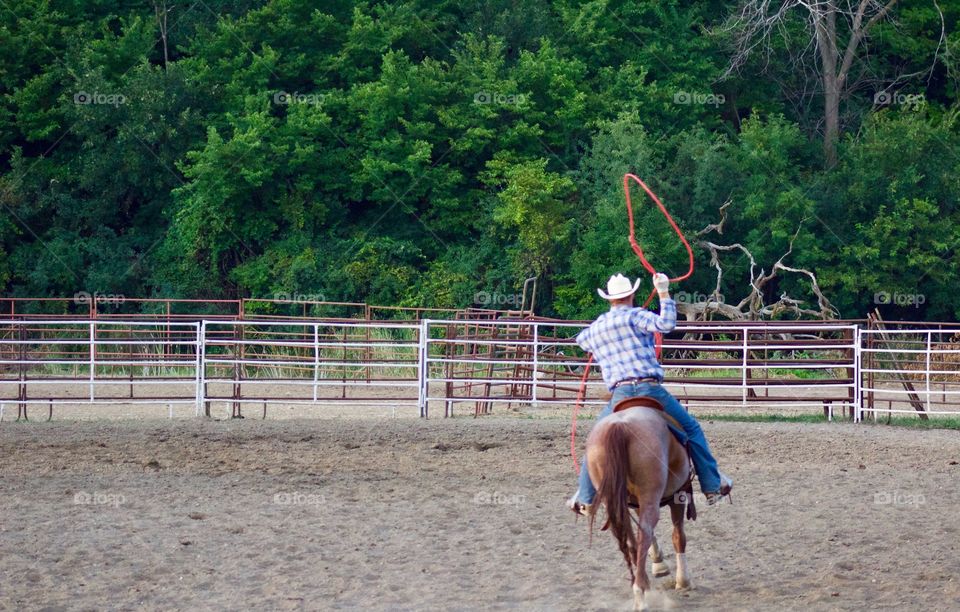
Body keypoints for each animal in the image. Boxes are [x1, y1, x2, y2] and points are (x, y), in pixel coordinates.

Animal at [588, 404, 692, 608]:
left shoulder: (635, 502)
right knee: (645, 530)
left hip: (614, 500)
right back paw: (640, 593)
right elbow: (678, 536)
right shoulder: (679, 494)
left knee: (630, 534)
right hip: (651, 496)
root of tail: (619, 426)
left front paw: (659, 563)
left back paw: (641, 583)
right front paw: (682, 581)